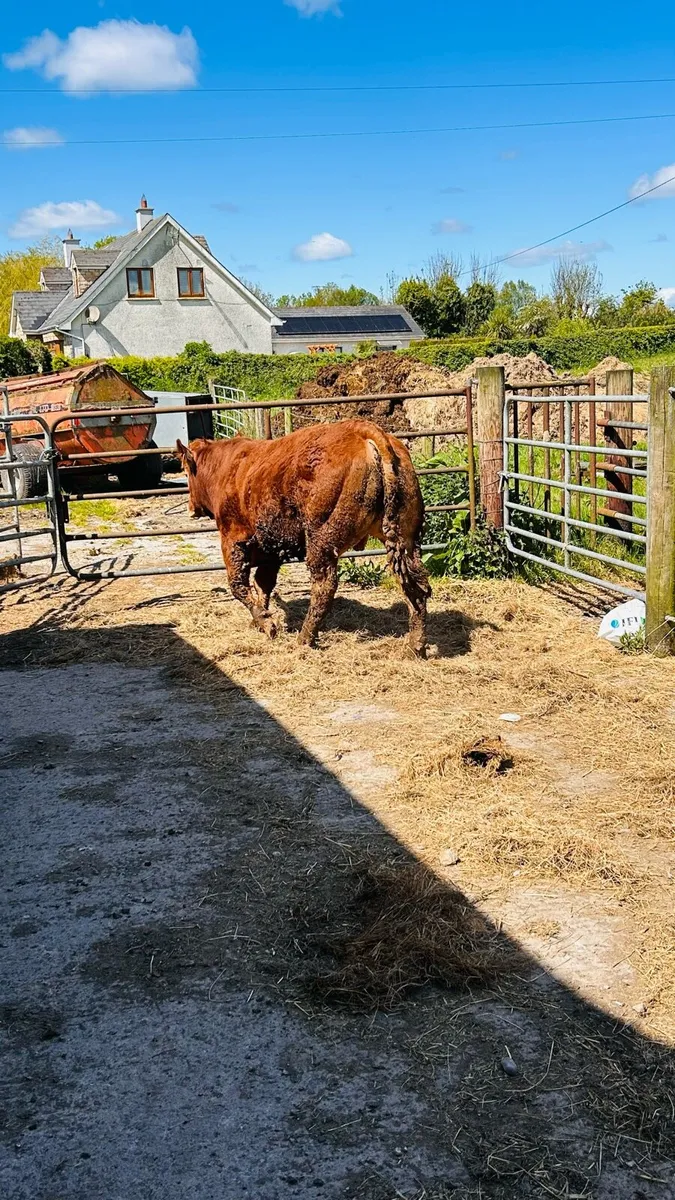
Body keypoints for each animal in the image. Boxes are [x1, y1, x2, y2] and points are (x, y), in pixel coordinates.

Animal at [176, 420, 431, 656]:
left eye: (186, 472)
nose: (190, 508)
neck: (228, 468)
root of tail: (364, 430)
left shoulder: (233, 539)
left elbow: (238, 585)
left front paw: (266, 624)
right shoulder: (270, 548)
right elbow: (263, 585)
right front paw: (260, 620)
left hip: (321, 540)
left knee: (324, 586)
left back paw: (305, 638)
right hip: (404, 538)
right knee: (415, 587)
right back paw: (415, 646)